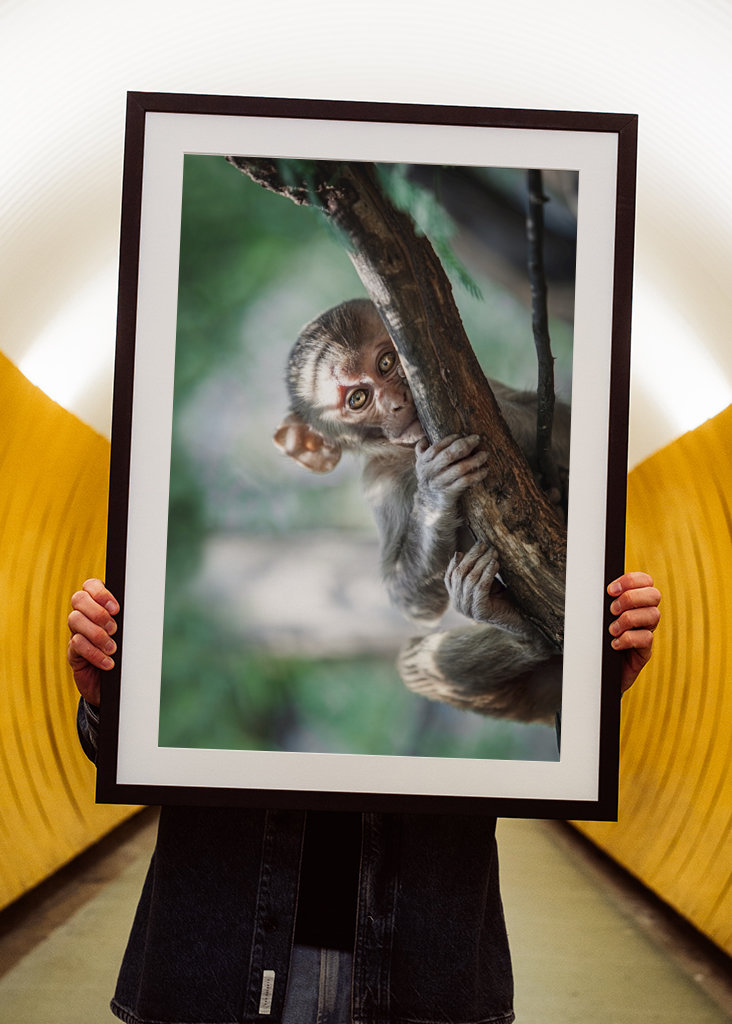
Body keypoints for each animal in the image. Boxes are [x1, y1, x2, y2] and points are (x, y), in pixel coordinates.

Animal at [274, 298, 570, 724]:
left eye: (385, 363)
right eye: (358, 399)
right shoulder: (380, 486)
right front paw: (434, 493)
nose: (398, 402)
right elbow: (413, 602)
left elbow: (561, 420)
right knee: (416, 665)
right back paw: (517, 630)